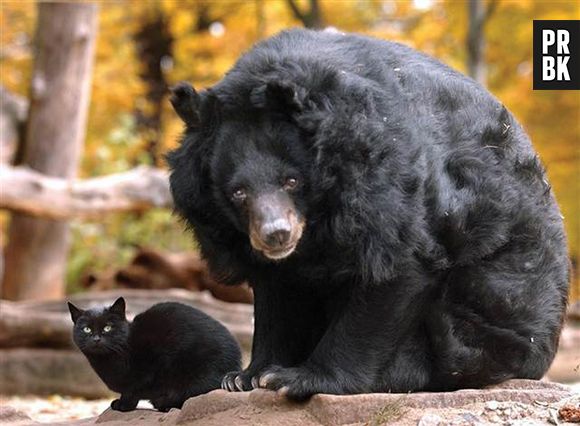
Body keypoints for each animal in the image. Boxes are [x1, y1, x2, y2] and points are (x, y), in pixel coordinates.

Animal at [67, 296, 240, 412]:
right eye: (86, 329)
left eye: (107, 327)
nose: (96, 338)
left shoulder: (149, 367)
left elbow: (131, 390)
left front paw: (123, 405)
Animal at [168, 28, 572, 402]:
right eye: (238, 192)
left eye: (291, 180)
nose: (275, 234)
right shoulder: (238, 237)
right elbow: (276, 293)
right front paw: (246, 376)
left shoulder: (384, 176)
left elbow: (396, 267)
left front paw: (297, 378)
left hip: (491, 309)